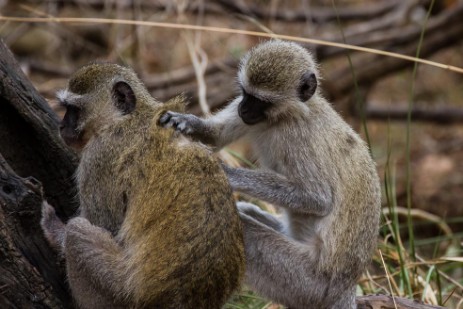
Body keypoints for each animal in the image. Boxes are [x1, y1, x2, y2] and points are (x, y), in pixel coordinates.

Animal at [160, 41, 380, 308]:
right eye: (246, 94)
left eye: (260, 101)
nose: (243, 108)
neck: (282, 117)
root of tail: (346, 287)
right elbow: (217, 136)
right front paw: (185, 121)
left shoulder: (298, 137)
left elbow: (317, 198)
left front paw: (225, 171)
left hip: (305, 283)